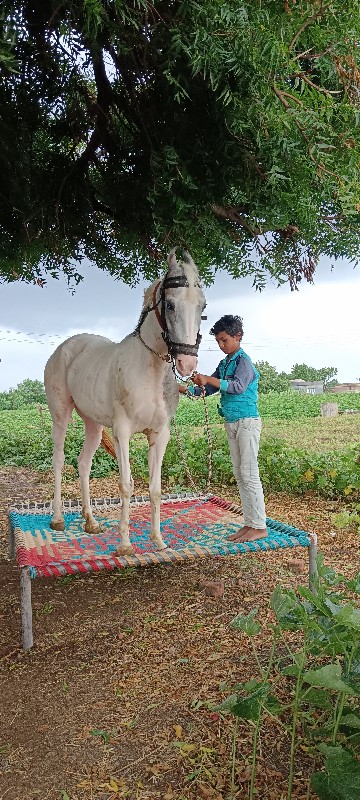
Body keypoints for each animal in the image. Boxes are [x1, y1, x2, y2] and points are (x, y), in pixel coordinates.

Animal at [44, 252, 207, 556]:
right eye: (169, 304)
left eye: (202, 306)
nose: (186, 363)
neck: (151, 369)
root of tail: (65, 348)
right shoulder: (123, 433)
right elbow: (127, 485)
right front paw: (125, 544)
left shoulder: (160, 435)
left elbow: (154, 489)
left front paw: (158, 540)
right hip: (61, 415)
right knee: (59, 460)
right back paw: (58, 519)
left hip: (93, 424)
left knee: (83, 463)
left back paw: (91, 521)